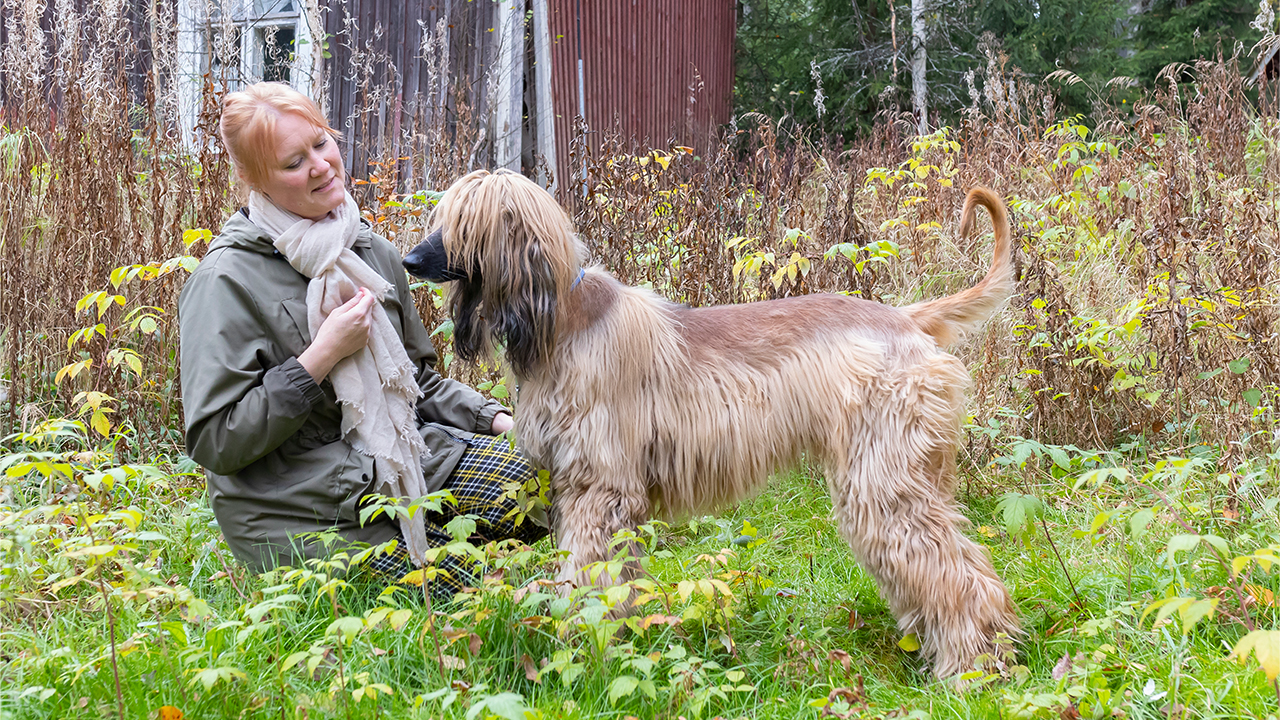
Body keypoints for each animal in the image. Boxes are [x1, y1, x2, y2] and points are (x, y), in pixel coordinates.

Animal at [404, 167, 1024, 676]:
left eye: (460, 224)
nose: (408, 261)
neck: (561, 322)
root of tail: (907, 318)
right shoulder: (583, 485)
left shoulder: (600, 485)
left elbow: (590, 576)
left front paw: (581, 643)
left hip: (886, 470)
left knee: (951, 566)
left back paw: (974, 665)